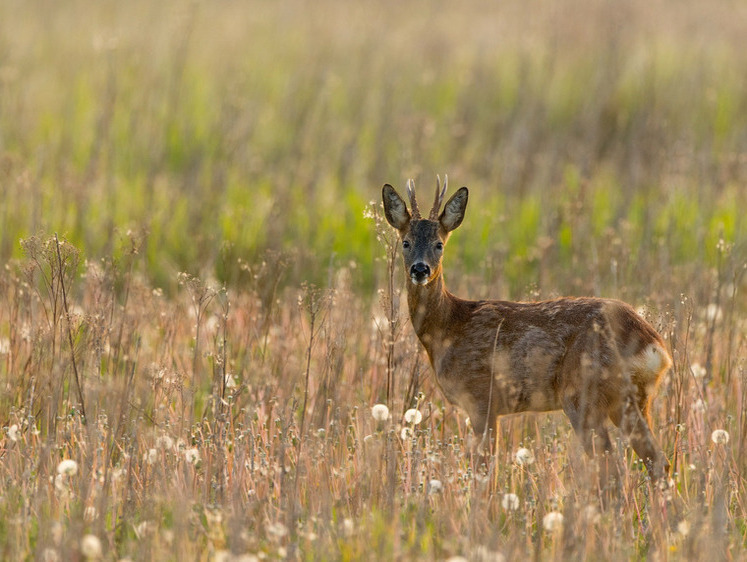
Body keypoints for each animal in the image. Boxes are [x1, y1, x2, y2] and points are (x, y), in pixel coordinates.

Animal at [386, 177, 672, 480]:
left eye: (439, 244)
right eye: (405, 242)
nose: (420, 269)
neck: (449, 327)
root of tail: (654, 345)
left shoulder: (482, 397)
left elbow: (485, 472)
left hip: (583, 393)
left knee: (612, 469)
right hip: (633, 400)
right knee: (658, 462)